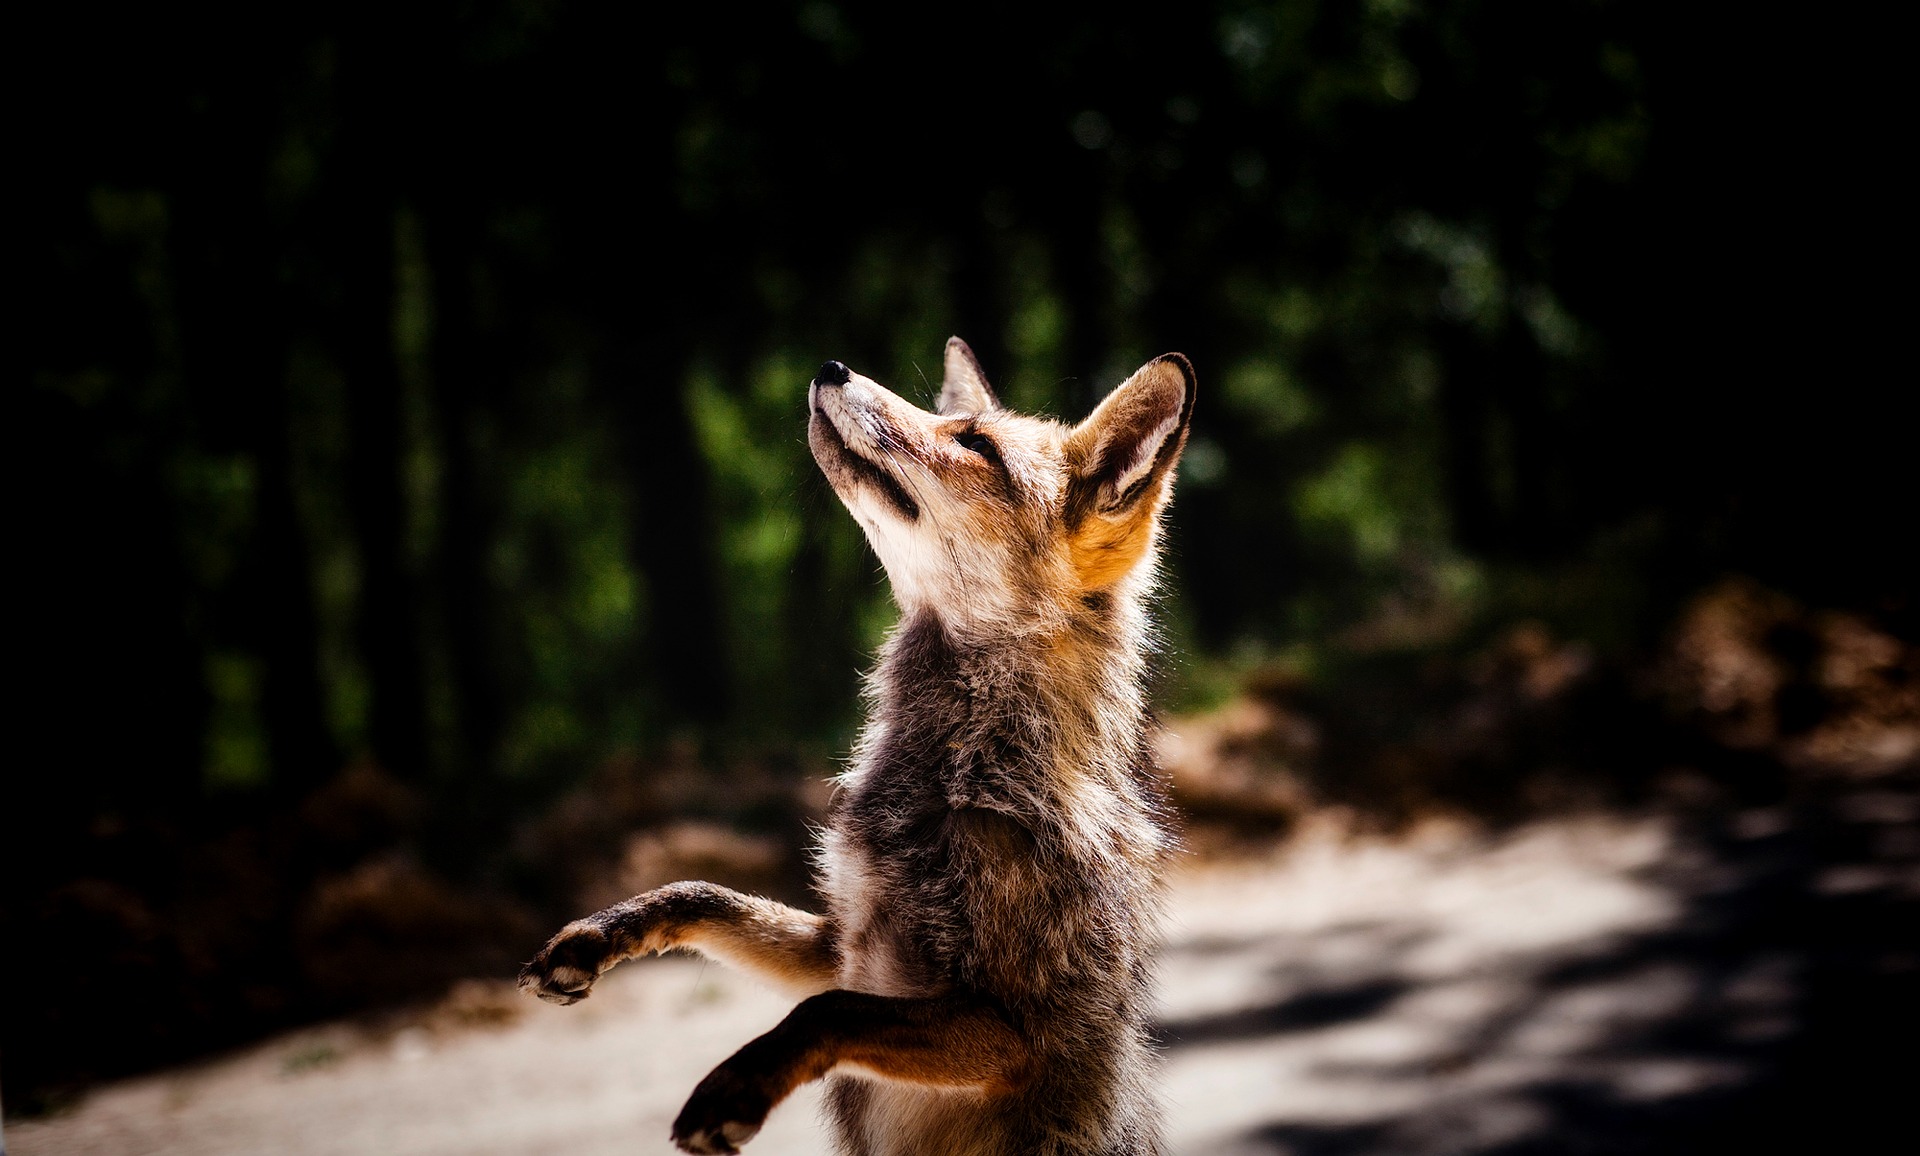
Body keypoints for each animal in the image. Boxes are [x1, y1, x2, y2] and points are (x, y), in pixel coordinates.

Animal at [518, 337, 1190, 1144]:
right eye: (952, 421)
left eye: (976, 445)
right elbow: (706, 894)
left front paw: (737, 1088)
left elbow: (823, 1013)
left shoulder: (1012, 1030)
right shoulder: (844, 947)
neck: (963, 777)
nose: (830, 368)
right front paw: (600, 934)